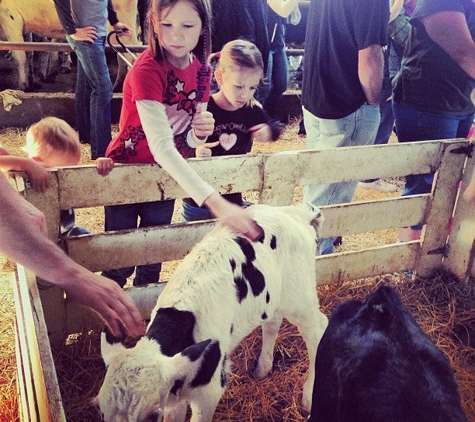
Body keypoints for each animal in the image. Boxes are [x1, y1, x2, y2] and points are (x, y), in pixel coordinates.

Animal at [0, 0, 139, 90]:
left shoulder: (9, 16)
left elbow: (20, 56)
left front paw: (22, 86)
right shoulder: (24, 26)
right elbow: (28, 52)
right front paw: (32, 82)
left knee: (126, 55)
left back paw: (118, 87)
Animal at [95, 203, 330, 420]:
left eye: (152, 415)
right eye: (100, 410)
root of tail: (292, 211)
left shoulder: (209, 393)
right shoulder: (172, 397)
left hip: (300, 297)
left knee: (317, 330)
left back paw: (309, 396)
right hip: (272, 297)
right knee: (273, 323)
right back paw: (262, 369)